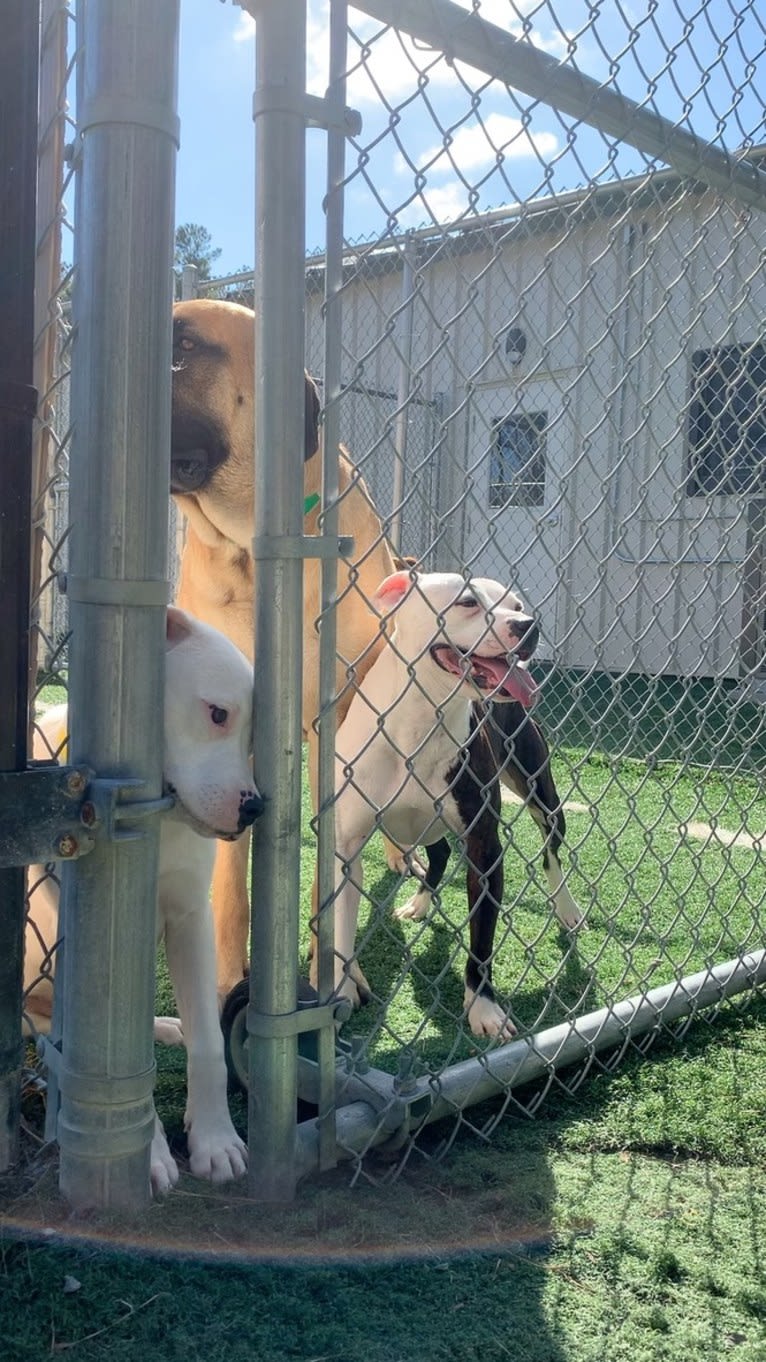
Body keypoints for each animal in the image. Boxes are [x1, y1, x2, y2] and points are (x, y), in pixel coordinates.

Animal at [23, 607, 261, 1193]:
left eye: (255, 736)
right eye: (217, 714)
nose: (255, 809)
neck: (159, 815)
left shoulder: (190, 917)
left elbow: (210, 1045)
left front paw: (215, 1141)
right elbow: (116, 1068)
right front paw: (146, 1155)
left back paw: (166, 1026)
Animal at [170, 301, 395, 1002]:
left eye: (183, 348)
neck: (247, 544)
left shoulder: (332, 721)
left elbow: (332, 864)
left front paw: (335, 976)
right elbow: (230, 881)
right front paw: (226, 983)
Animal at [328, 569, 553, 1035]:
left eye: (517, 605)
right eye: (467, 602)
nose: (528, 626)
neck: (421, 721)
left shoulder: (485, 847)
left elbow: (481, 941)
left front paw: (483, 1008)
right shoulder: (347, 849)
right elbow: (341, 932)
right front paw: (341, 992)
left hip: (538, 787)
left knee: (553, 844)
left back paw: (569, 910)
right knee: (440, 852)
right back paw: (419, 903)